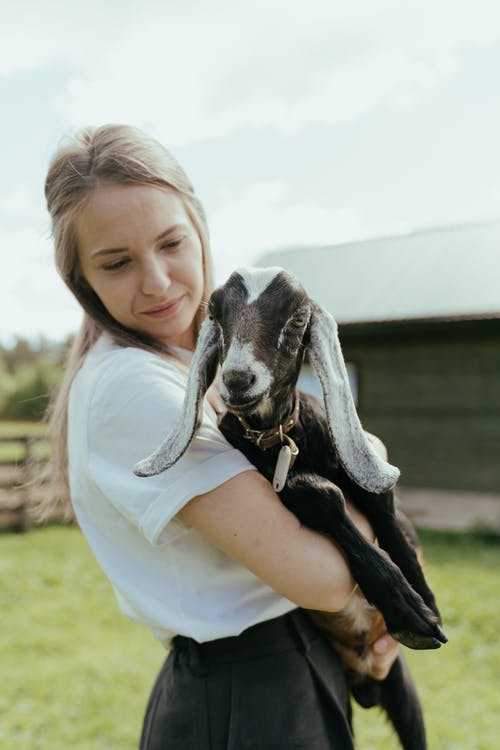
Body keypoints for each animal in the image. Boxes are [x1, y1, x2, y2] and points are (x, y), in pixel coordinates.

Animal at [135, 268, 448, 748]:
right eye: (215, 313)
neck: (284, 437)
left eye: (298, 317)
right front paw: (404, 607)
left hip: (402, 689)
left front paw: (420, 601)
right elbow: (323, 495)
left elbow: (384, 508)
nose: (238, 379)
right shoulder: (279, 480)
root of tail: (365, 682)